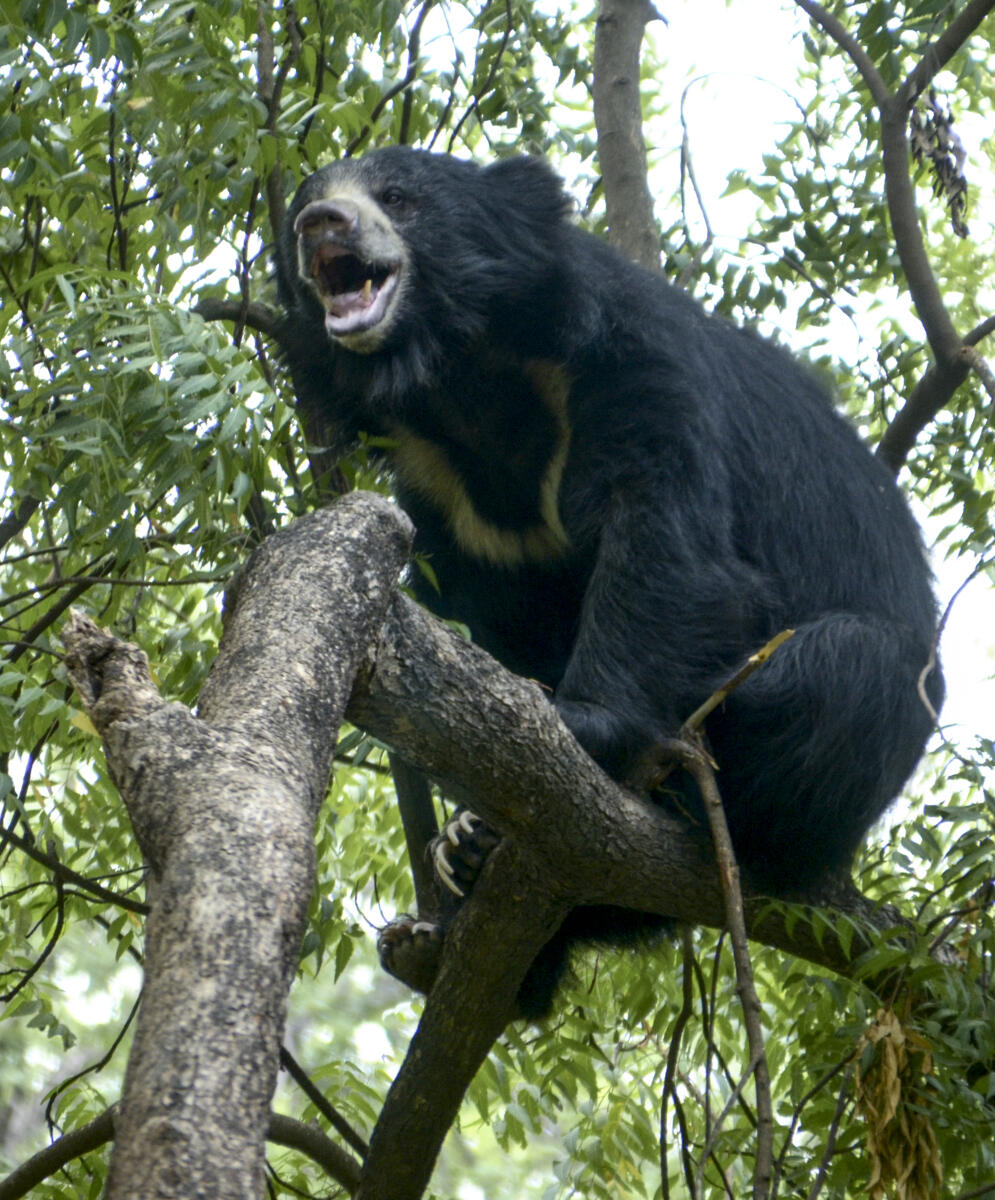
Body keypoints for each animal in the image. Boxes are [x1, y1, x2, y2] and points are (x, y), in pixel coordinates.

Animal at [275, 146, 943, 1017]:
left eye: (398, 198)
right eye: (310, 199)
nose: (319, 225)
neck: (462, 379)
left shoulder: (627, 369)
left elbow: (665, 541)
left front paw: (577, 722)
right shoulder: (447, 497)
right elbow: (502, 616)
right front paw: (479, 806)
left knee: (849, 670)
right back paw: (461, 885)